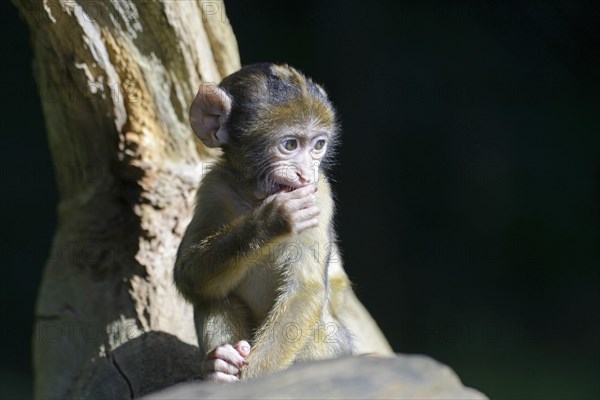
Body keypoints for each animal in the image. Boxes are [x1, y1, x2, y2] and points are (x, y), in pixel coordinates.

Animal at [173, 62, 392, 382]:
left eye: (318, 145)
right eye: (289, 145)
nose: (305, 173)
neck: (253, 195)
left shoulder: (319, 195)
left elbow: (305, 291)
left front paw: (251, 382)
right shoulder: (213, 188)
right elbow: (186, 272)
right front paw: (270, 222)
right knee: (213, 298)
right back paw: (220, 368)